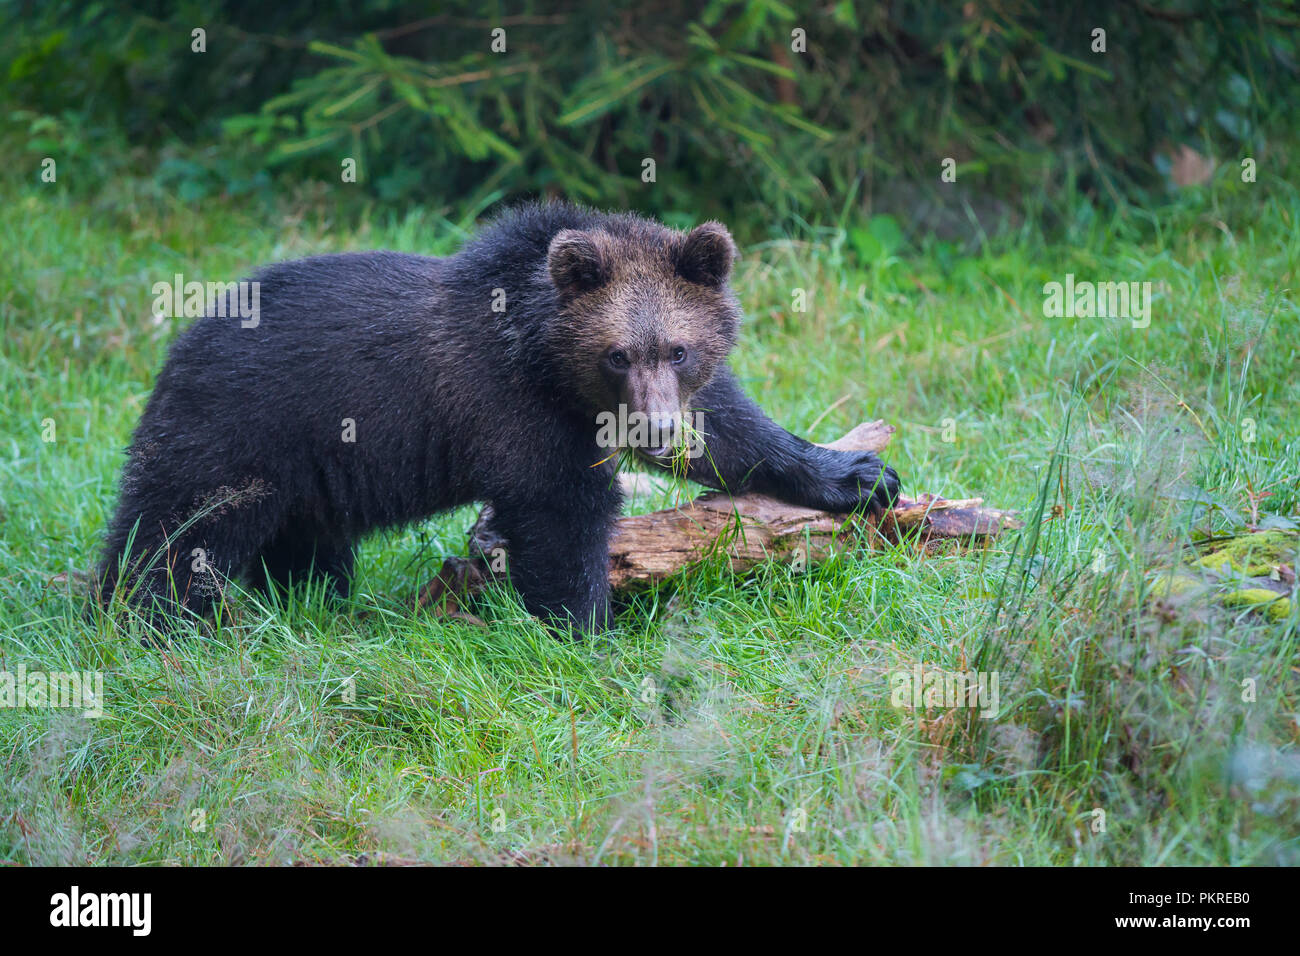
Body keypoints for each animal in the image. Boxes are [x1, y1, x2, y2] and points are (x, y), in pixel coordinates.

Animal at [99, 201, 900, 635]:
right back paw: (142, 620)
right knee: (176, 532)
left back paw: (306, 600)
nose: (656, 433)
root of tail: (184, 338)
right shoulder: (513, 412)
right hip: (238, 430)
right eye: (616, 354)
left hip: (303, 471)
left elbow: (732, 430)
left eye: (679, 348)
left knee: (305, 547)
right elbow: (560, 514)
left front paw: (858, 474)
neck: (546, 361)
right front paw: (590, 628)